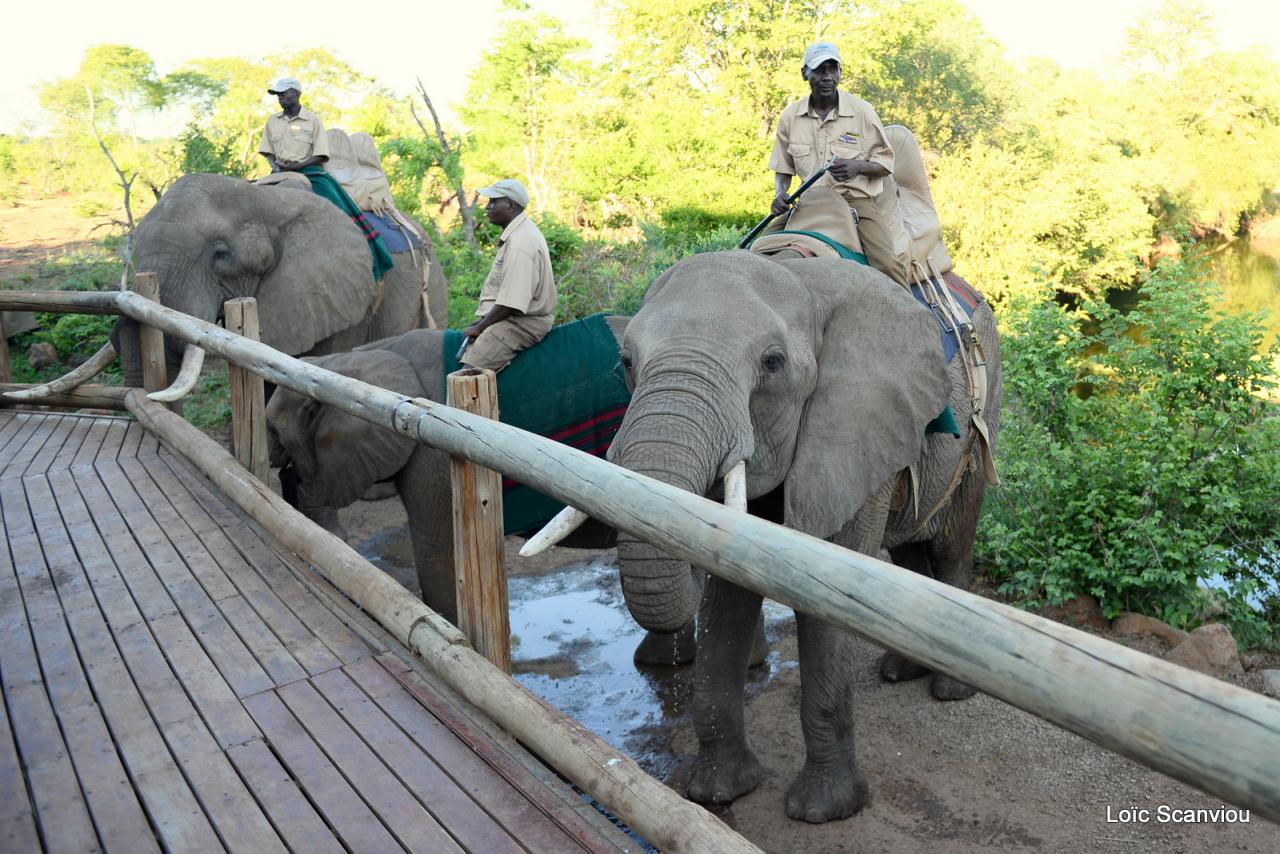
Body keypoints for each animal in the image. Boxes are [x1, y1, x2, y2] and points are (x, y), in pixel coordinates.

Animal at [591, 250, 998, 824]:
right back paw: (901, 671)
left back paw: (949, 690)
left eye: (773, 364)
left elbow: (829, 585)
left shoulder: (851, 423)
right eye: (625, 362)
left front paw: (825, 810)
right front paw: (715, 791)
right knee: (907, 548)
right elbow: (728, 592)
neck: (798, 279)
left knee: (949, 545)